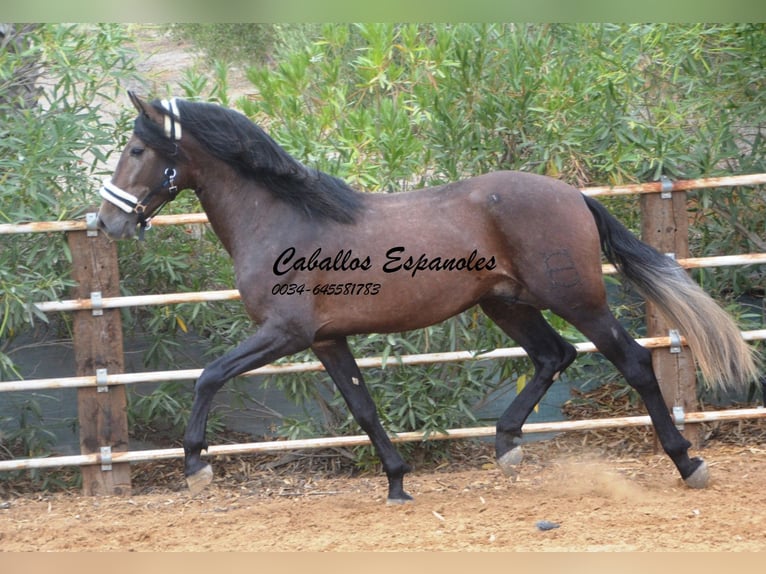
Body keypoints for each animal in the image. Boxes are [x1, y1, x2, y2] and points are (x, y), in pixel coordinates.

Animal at [97, 93, 760, 504]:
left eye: (136, 150)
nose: (107, 223)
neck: (283, 218)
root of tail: (573, 194)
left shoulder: (284, 333)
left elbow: (208, 376)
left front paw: (197, 467)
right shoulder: (326, 340)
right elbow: (363, 410)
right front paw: (397, 484)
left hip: (578, 299)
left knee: (634, 362)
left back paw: (688, 463)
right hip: (505, 304)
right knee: (554, 356)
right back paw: (506, 446)